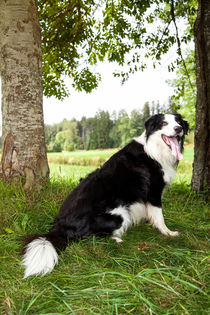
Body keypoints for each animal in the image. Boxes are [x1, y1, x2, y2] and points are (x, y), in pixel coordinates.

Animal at [22, 114, 189, 278]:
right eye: (164, 123)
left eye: (179, 122)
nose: (178, 129)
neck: (154, 149)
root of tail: (59, 226)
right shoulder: (153, 192)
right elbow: (160, 217)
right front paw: (168, 232)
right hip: (119, 214)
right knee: (89, 237)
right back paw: (116, 238)